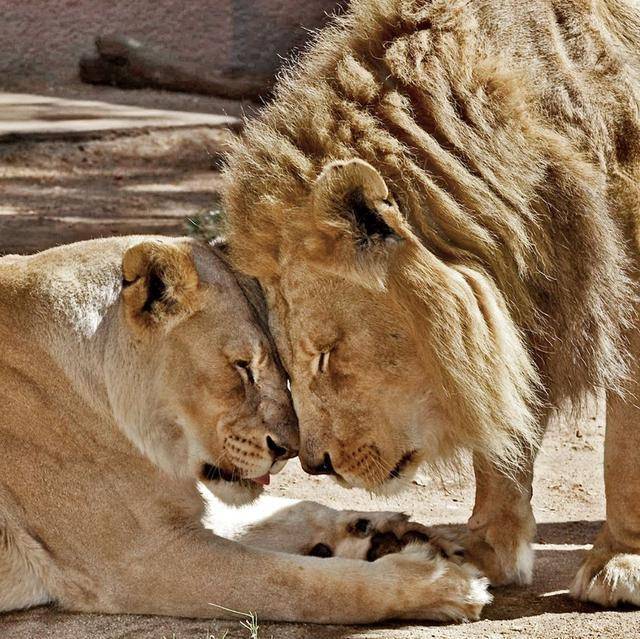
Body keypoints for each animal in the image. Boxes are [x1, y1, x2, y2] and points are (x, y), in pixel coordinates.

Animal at [1, 236, 490, 624]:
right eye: (243, 367)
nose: (289, 450)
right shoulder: (139, 560)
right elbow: (303, 585)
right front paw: (443, 584)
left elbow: (294, 508)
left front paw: (389, 531)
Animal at [222, 0, 640, 608]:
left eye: (325, 355)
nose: (315, 465)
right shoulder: (513, 303)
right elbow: (500, 433)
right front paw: (480, 552)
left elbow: (625, 452)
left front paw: (620, 564)